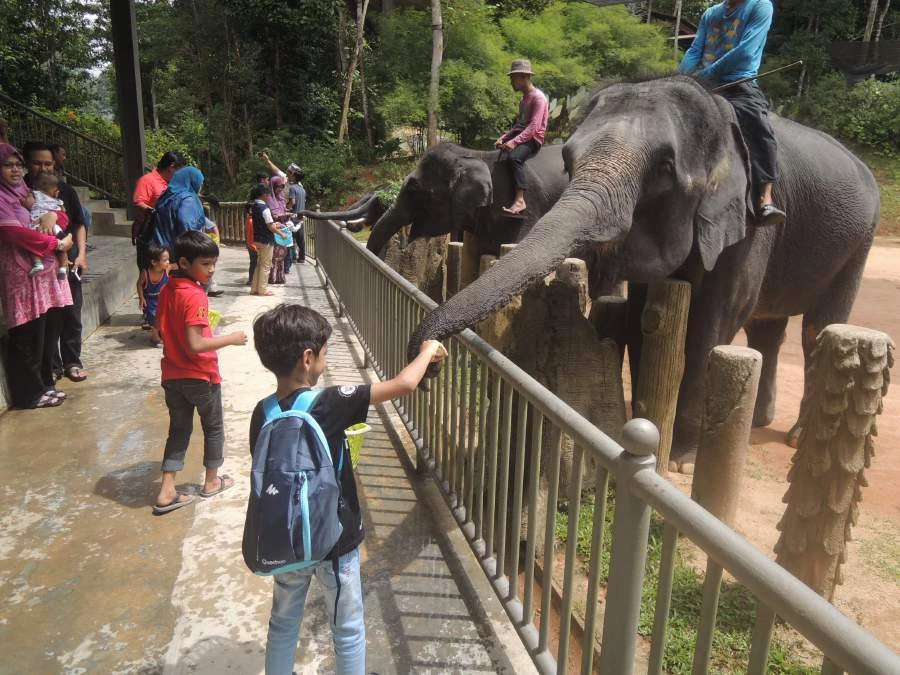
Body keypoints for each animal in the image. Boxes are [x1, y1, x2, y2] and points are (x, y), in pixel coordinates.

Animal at [407, 75, 880, 471]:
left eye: (665, 168)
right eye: (568, 160)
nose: (430, 368)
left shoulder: (749, 220)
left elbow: (715, 323)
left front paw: (682, 461)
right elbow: (641, 314)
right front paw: (639, 429)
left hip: (859, 239)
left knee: (819, 328)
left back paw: (797, 437)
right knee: (770, 329)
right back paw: (763, 422)